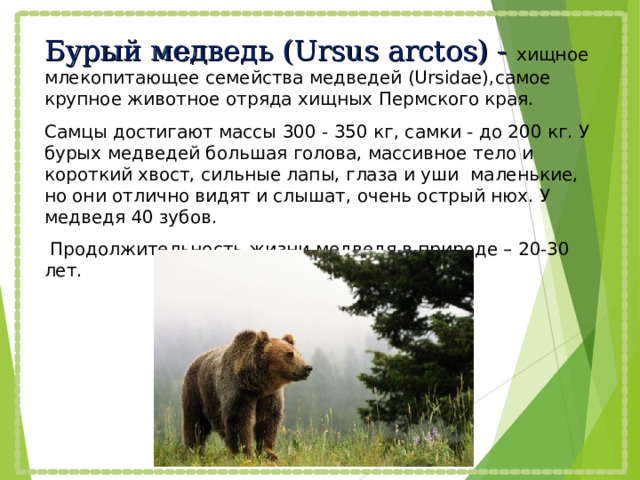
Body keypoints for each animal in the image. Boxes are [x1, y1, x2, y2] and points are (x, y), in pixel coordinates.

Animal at [181, 330, 312, 460]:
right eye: (289, 354)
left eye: (299, 354)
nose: (308, 368)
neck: (255, 385)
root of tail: (195, 360)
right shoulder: (238, 392)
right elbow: (239, 421)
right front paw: (245, 454)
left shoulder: (269, 396)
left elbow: (268, 420)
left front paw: (268, 453)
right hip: (197, 392)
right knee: (195, 424)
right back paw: (194, 452)